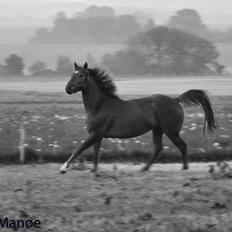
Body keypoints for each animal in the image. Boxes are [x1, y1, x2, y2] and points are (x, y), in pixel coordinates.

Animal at [59, 62, 216, 173]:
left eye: (80, 75)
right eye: (72, 74)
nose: (68, 89)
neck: (100, 105)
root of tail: (175, 99)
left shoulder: (96, 133)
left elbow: (79, 148)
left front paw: (63, 168)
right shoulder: (97, 135)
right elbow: (95, 152)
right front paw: (94, 170)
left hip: (171, 131)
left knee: (182, 145)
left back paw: (184, 168)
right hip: (157, 129)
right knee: (158, 148)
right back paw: (144, 168)